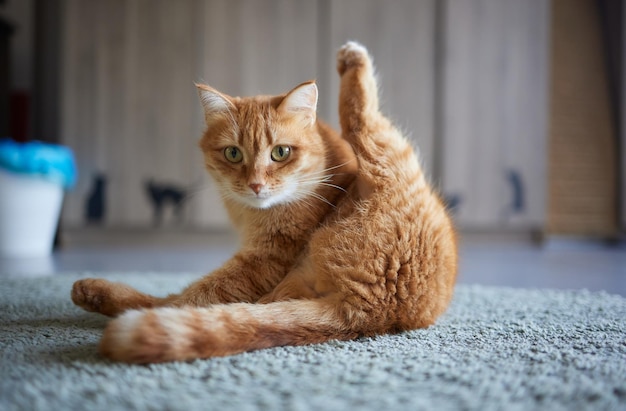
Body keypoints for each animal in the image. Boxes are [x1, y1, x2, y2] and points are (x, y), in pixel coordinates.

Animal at [70, 41, 456, 364]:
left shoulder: (266, 257)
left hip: (388, 151)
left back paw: (352, 59)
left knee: (359, 115)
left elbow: (202, 293)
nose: (255, 184)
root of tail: (374, 309)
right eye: (233, 153)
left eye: (280, 152)